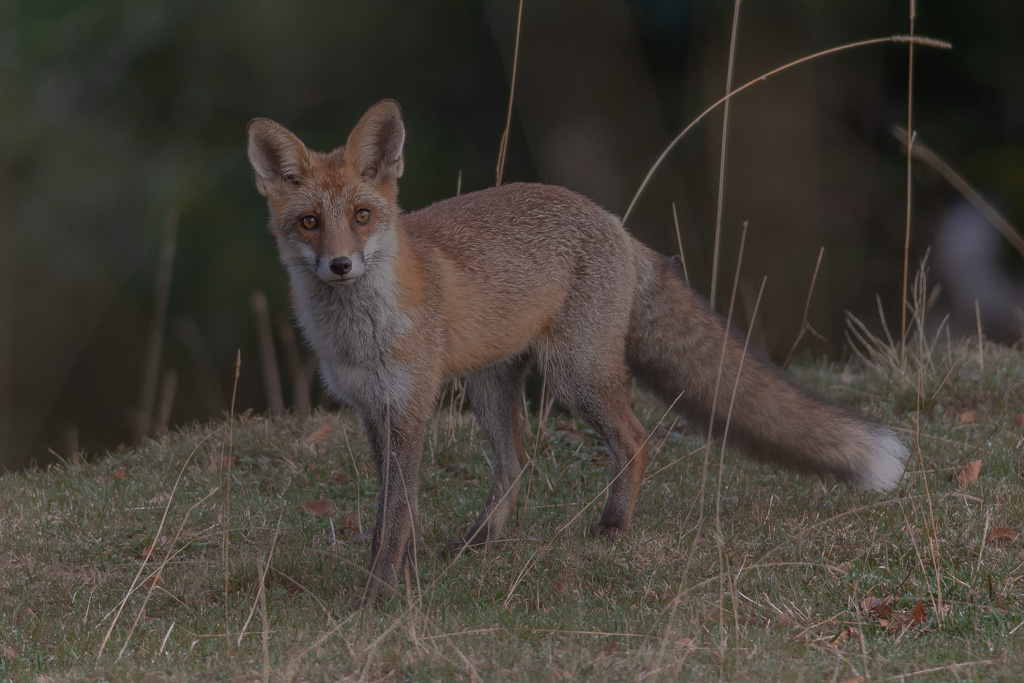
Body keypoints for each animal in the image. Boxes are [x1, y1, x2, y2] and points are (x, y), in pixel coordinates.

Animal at [247, 97, 913, 602]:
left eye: (362, 215)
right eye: (309, 222)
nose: (340, 264)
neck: (361, 334)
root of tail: (613, 221)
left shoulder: (410, 408)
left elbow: (396, 516)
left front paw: (380, 595)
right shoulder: (374, 411)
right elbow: (394, 513)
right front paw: (397, 579)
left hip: (575, 375)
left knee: (635, 440)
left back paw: (613, 526)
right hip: (491, 384)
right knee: (514, 465)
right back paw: (479, 543)